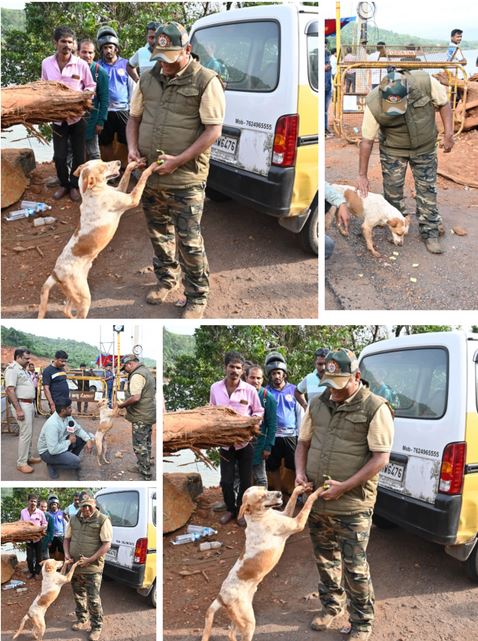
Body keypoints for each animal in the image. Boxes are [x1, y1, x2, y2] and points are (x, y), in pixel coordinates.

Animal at [200, 484, 324, 640]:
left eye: (265, 488)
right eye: (261, 497)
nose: (279, 493)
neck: (260, 517)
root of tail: (221, 597)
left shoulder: (286, 513)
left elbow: (293, 498)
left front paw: (302, 487)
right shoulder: (297, 523)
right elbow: (309, 501)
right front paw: (320, 490)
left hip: (240, 618)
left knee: (230, 633)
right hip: (248, 623)